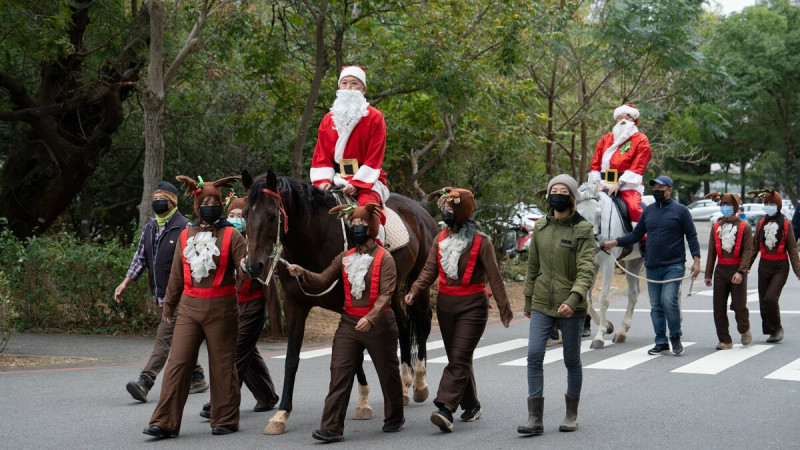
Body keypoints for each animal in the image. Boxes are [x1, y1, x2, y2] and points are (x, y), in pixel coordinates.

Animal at [244, 171, 438, 434]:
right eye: (245, 214)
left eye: (273, 215)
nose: (253, 266)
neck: (314, 241)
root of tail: (419, 209)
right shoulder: (295, 307)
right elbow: (292, 360)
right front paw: (281, 414)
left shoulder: (347, 306)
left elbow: (353, 354)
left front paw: (363, 403)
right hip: (393, 288)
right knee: (404, 327)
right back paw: (404, 386)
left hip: (420, 282)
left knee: (422, 325)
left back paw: (419, 383)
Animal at [580, 181, 652, 350]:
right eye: (579, 215)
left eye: (599, 215)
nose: (594, 246)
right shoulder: (592, 265)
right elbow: (587, 299)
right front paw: (607, 326)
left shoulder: (608, 264)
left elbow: (604, 299)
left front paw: (599, 336)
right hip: (633, 262)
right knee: (633, 294)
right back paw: (621, 331)